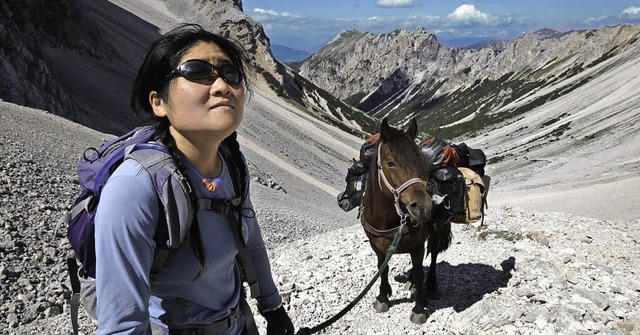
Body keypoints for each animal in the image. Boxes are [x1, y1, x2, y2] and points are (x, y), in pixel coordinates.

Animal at [360, 119, 456, 326]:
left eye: (423, 163)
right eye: (391, 163)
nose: (423, 208)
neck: (388, 221)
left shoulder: (417, 246)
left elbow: (420, 272)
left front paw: (419, 308)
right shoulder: (377, 246)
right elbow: (383, 269)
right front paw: (383, 297)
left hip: (437, 232)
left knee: (433, 255)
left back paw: (430, 286)